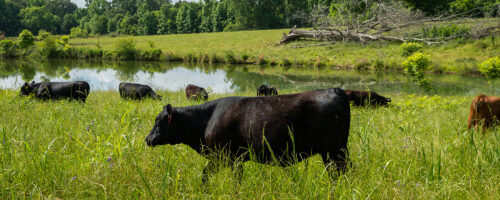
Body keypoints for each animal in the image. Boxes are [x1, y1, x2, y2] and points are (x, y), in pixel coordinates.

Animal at [146, 88, 350, 183]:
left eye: (159, 121)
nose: (147, 139)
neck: (207, 120)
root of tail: (334, 90)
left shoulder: (224, 156)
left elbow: (208, 176)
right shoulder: (233, 158)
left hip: (333, 151)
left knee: (339, 173)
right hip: (338, 150)